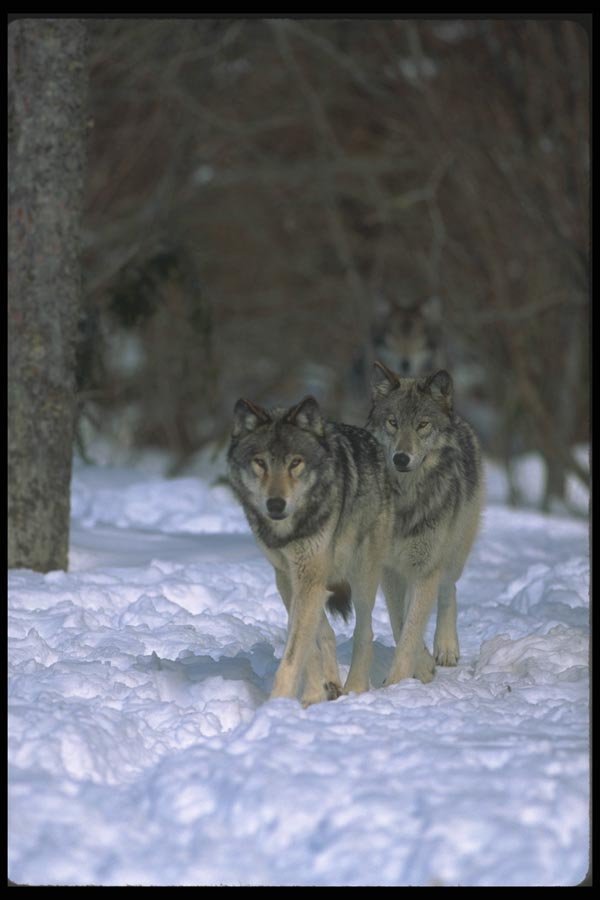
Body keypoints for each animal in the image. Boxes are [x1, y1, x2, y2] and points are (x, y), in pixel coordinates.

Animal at [227, 395, 393, 705]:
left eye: (295, 463)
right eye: (260, 463)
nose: (275, 504)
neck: (289, 531)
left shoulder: (308, 577)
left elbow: (295, 655)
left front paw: (278, 704)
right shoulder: (288, 577)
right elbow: (308, 648)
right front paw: (313, 695)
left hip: (362, 574)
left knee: (364, 631)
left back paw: (355, 688)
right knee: (326, 632)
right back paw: (333, 684)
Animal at [366, 360, 484, 685]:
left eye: (422, 425)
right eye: (393, 422)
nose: (401, 458)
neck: (406, 499)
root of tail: (461, 420)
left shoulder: (425, 569)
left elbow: (411, 629)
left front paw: (395, 684)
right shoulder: (389, 570)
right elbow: (401, 623)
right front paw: (421, 667)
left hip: (453, 555)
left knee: (449, 590)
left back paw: (446, 648)